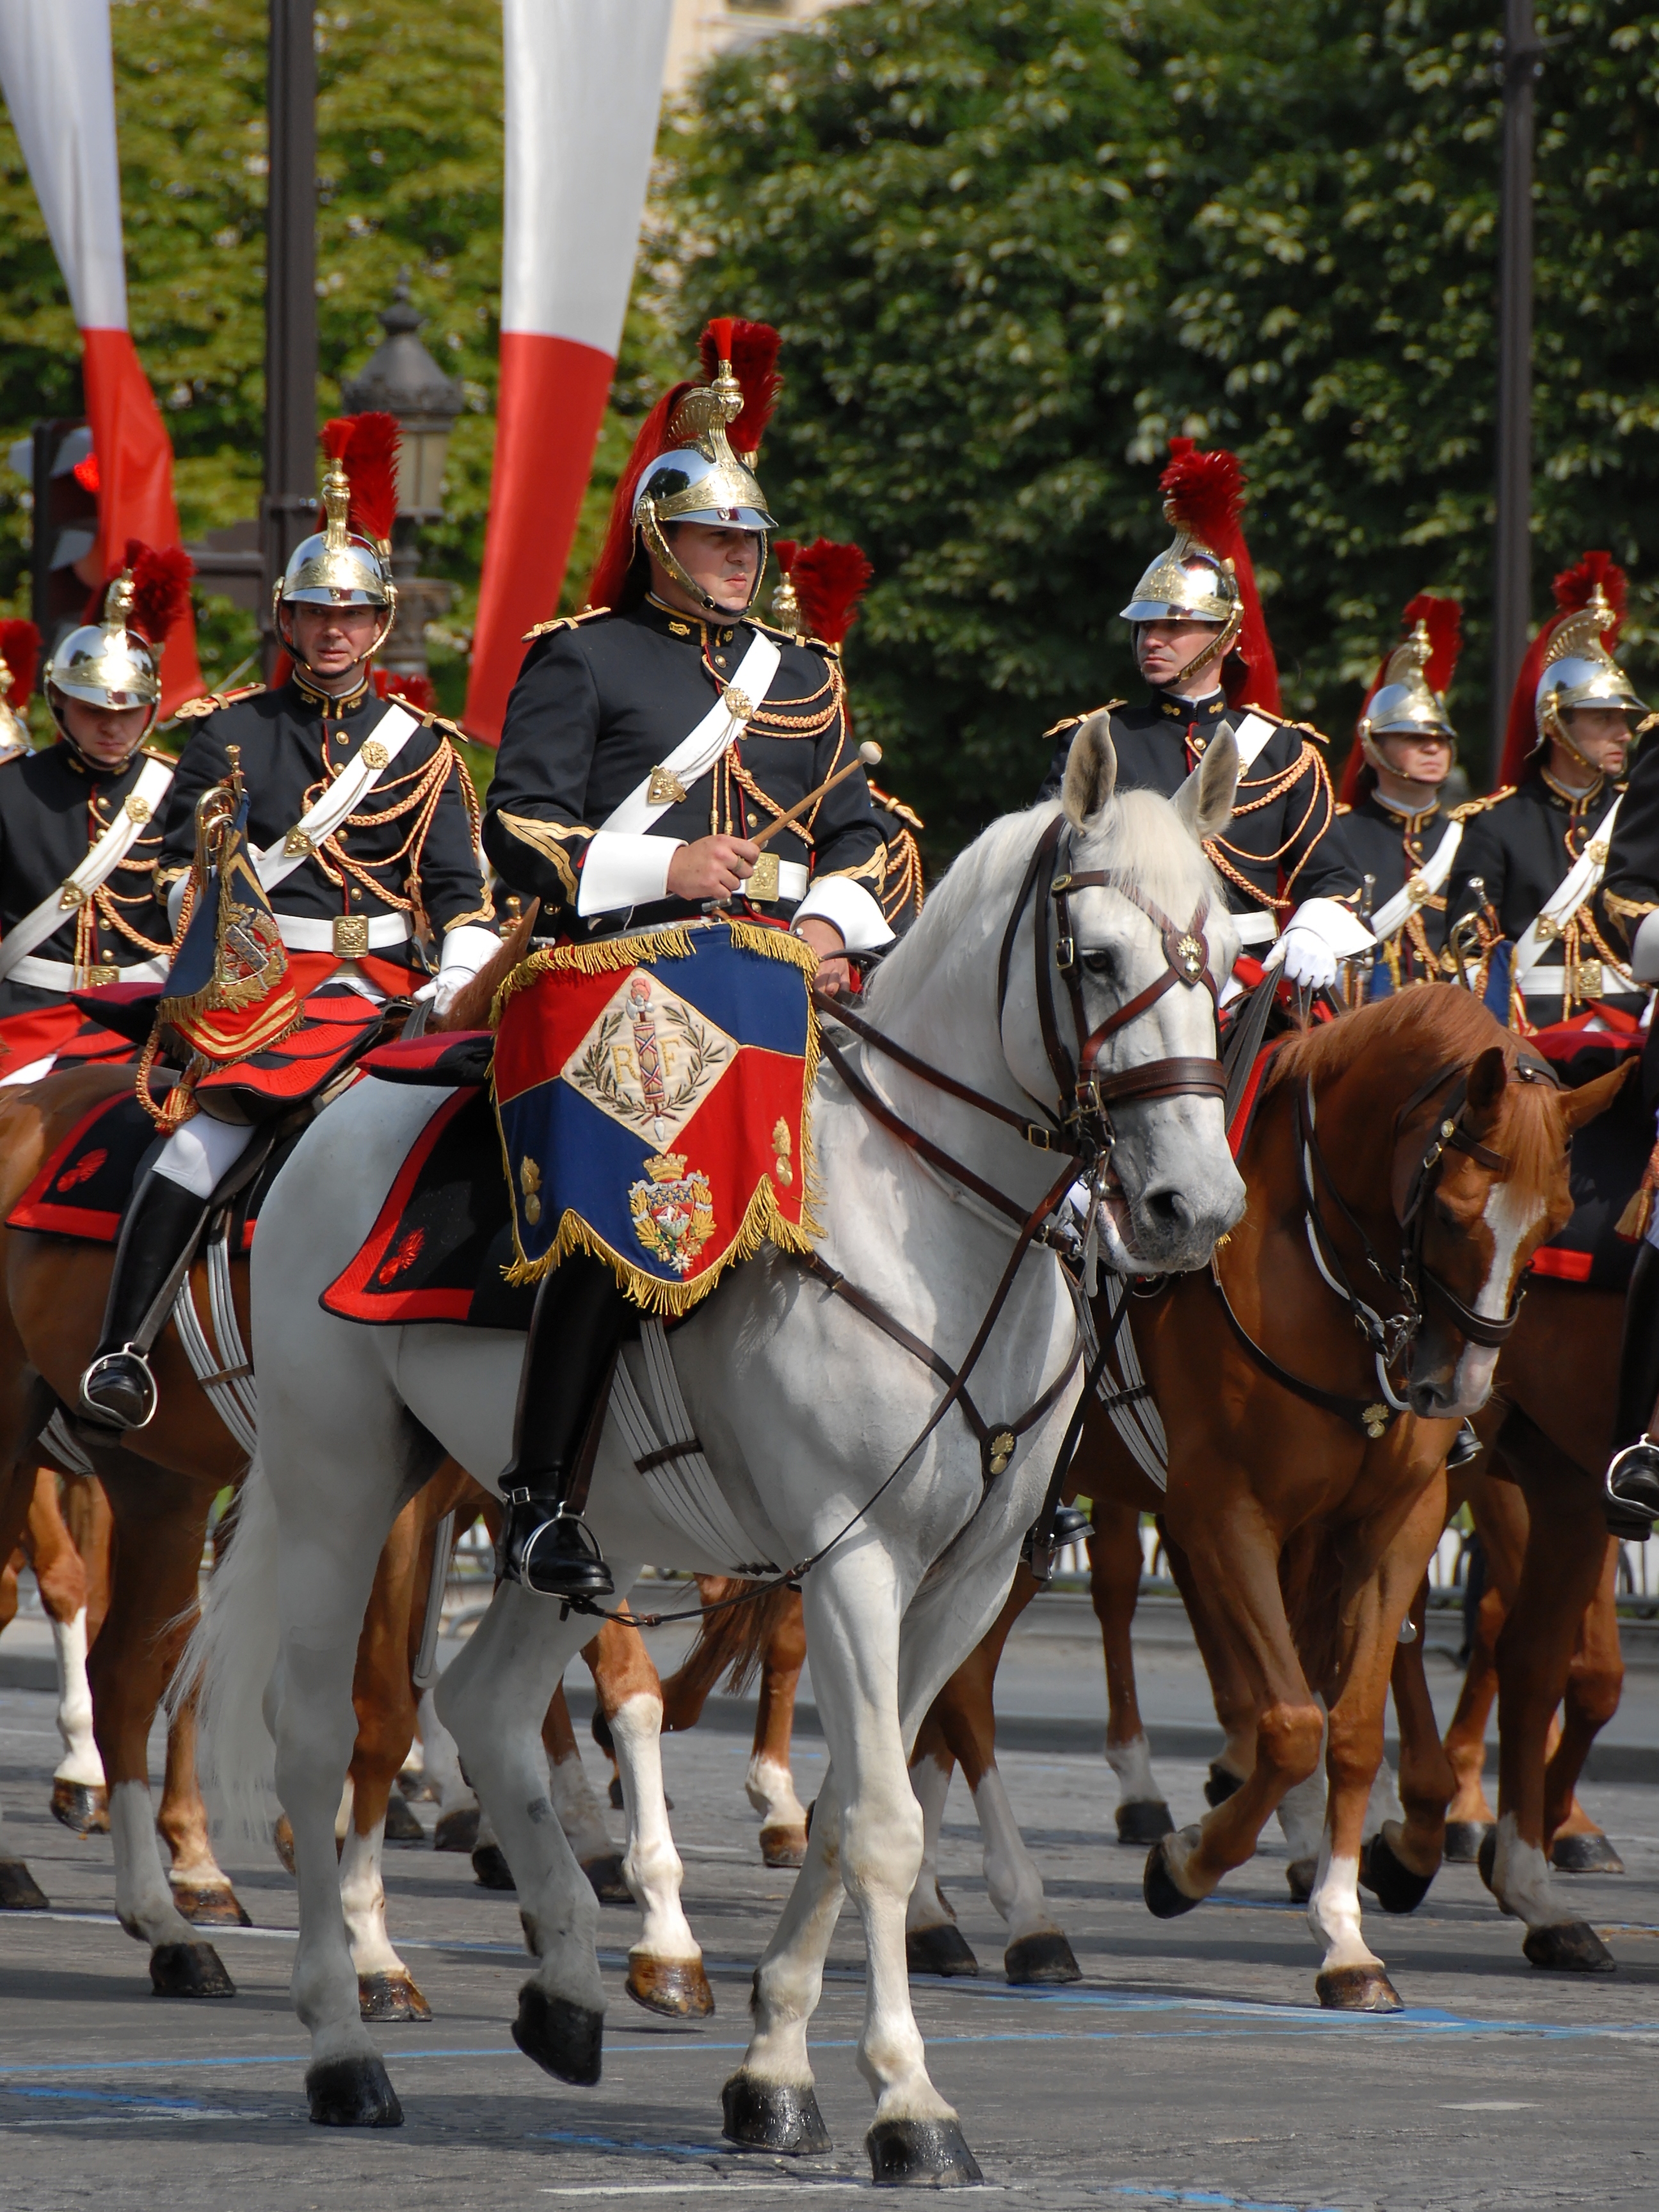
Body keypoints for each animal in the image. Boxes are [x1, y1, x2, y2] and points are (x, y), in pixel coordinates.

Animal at [191, 721, 1247, 2176]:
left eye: (1230, 964)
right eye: (1092, 958)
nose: (1193, 1206)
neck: (932, 1215)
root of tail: (334, 1114)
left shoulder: (963, 1582)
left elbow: (854, 1808)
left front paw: (777, 2073)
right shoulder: (854, 1558)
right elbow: (884, 1826)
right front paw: (910, 2102)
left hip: (571, 1530)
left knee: (488, 1702)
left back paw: (570, 1990)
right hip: (342, 1481)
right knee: (317, 1733)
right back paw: (346, 2041)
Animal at [911, 986, 1628, 2008]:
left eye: (1556, 1220)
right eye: (1455, 1213)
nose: (1453, 1390)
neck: (1320, 1266)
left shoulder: (1397, 1523)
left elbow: (1351, 1726)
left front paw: (1347, 1936)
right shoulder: (1222, 1516)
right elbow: (1289, 1723)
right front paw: (1185, 1866)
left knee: (948, 1687)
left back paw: (958, 1914)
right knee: (957, 1689)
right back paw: (993, 1911)